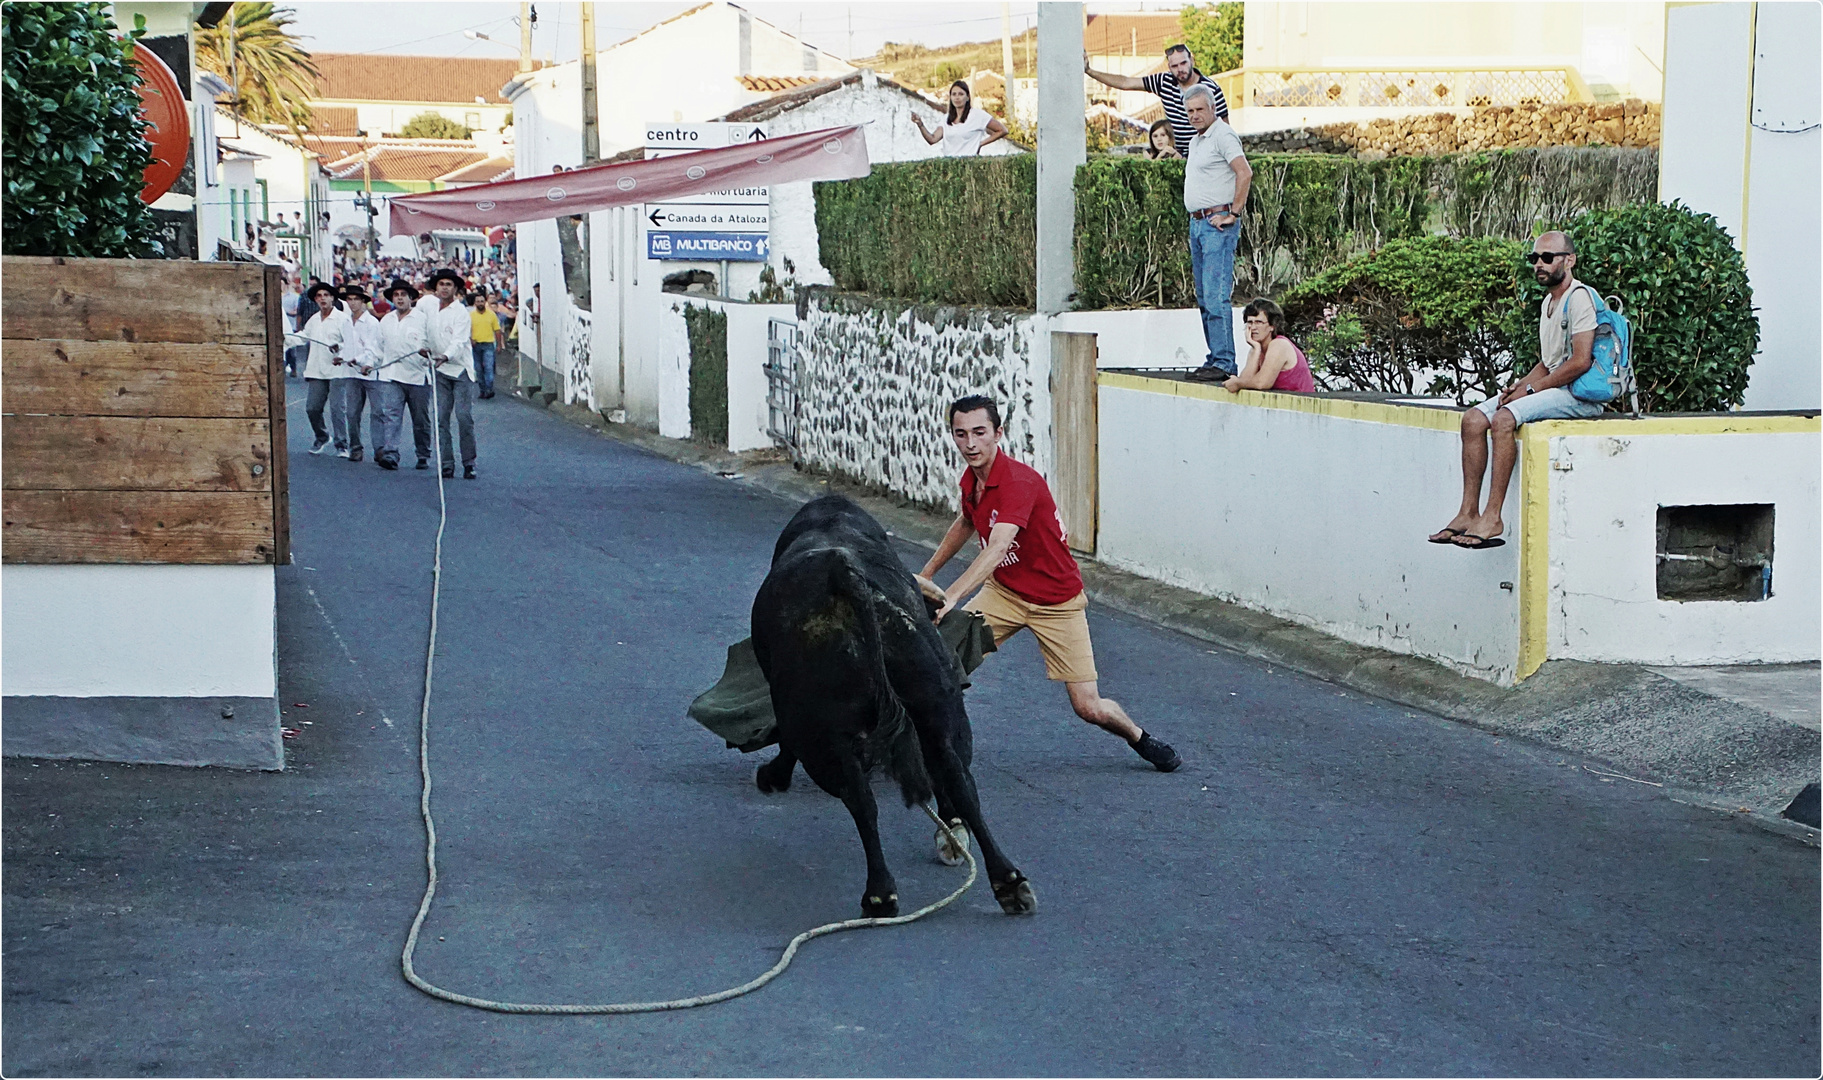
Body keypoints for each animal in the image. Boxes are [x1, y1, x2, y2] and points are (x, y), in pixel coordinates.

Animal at [391, 392, 977, 1014]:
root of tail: (844, 572)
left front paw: (773, 776)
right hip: (936, 705)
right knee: (956, 777)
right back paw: (998, 877)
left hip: (830, 731)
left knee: (863, 799)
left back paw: (881, 892)